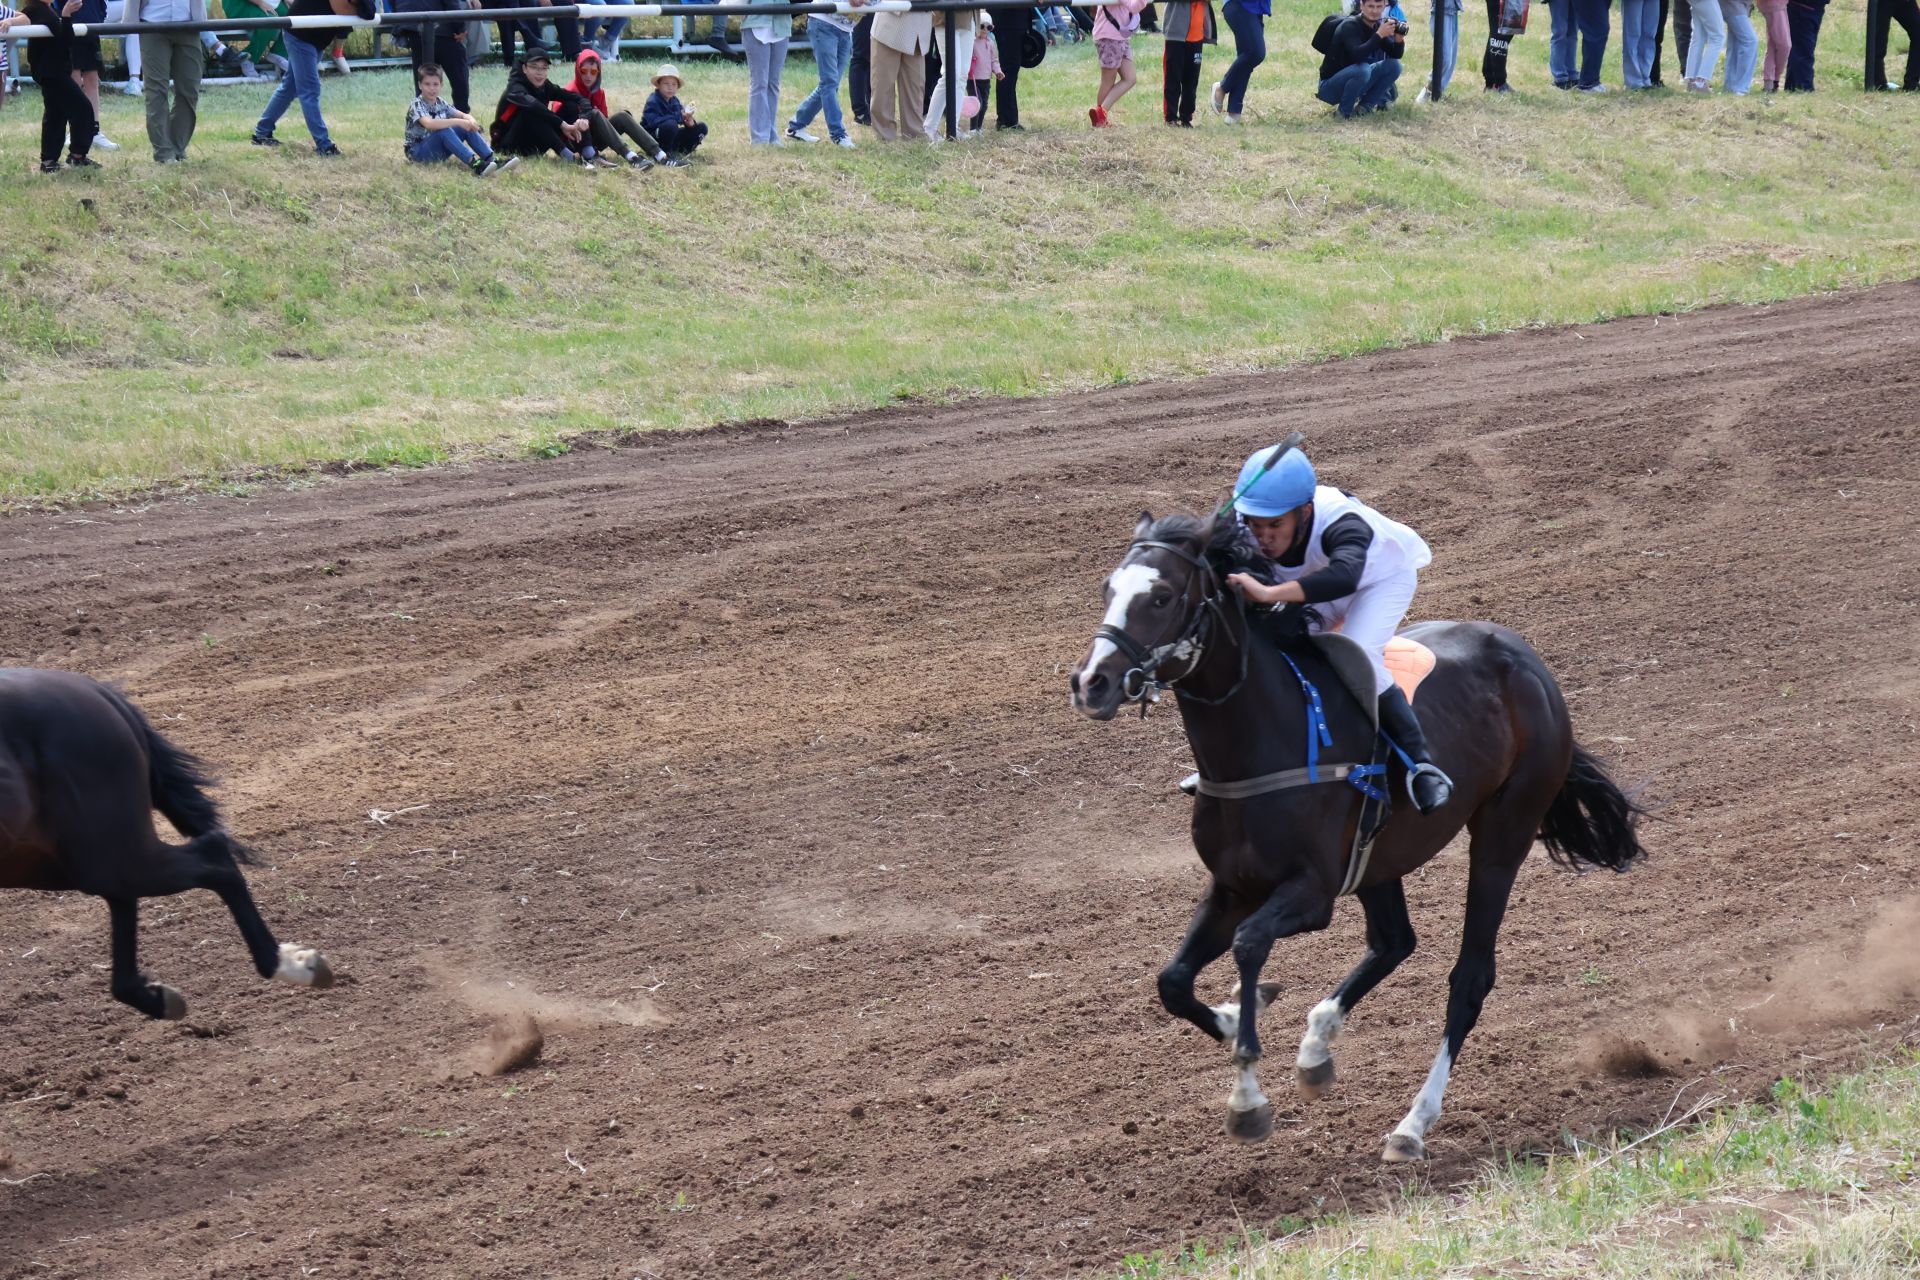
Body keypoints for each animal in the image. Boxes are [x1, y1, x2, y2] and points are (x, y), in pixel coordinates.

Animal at [1, 671, 334, 1020]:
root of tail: (96, 689)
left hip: (98, 855)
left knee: (211, 857)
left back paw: (287, 965)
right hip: (55, 859)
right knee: (126, 896)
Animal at [1067, 514, 1651, 1166]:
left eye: (1162, 597)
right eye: (1107, 588)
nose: (1091, 683)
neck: (1261, 741)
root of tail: (1528, 659)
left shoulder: (1311, 893)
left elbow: (1249, 944)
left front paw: (1247, 1097)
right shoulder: (1232, 886)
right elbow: (1172, 981)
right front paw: (1237, 1016)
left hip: (1505, 831)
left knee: (1470, 977)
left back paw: (1413, 1124)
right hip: (1379, 859)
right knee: (1394, 941)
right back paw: (1317, 1046)